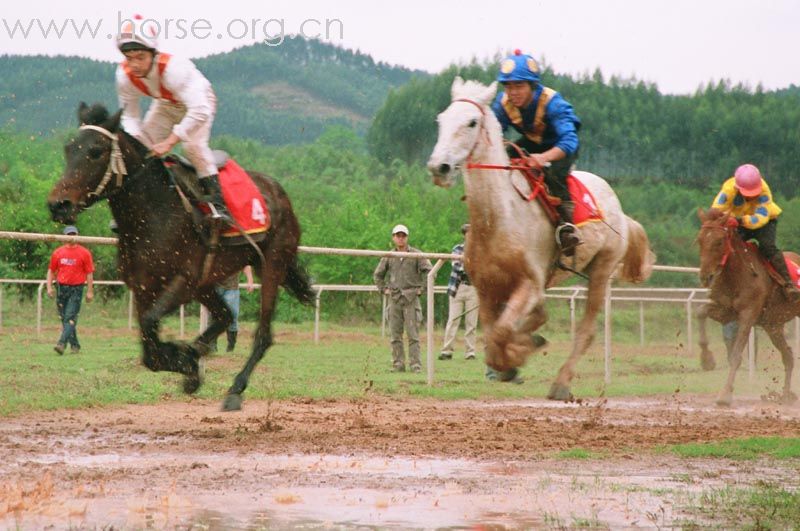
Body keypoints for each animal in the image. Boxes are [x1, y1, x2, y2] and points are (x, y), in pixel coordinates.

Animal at [46, 103, 316, 412]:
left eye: (96, 151)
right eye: (69, 149)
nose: (58, 204)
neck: (155, 214)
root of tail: (280, 194)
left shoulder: (183, 281)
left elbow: (150, 326)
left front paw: (185, 359)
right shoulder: (143, 286)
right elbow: (149, 348)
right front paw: (188, 364)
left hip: (271, 265)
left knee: (262, 334)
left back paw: (234, 389)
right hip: (208, 283)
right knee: (225, 315)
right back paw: (197, 349)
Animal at [428, 76, 652, 400]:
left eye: (471, 122)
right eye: (441, 120)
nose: (439, 167)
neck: (500, 218)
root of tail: (621, 212)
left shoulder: (529, 285)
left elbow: (502, 332)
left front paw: (520, 353)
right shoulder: (487, 288)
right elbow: (494, 334)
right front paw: (514, 357)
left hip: (602, 269)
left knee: (586, 331)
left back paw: (560, 383)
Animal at [696, 208, 796, 408]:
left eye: (719, 241)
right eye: (700, 240)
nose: (705, 276)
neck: (738, 275)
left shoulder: (747, 316)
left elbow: (735, 355)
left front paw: (725, 395)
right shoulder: (726, 312)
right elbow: (700, 312)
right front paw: (707, 360)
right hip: (773, 326)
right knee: (788, 356)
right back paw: (785, 395)